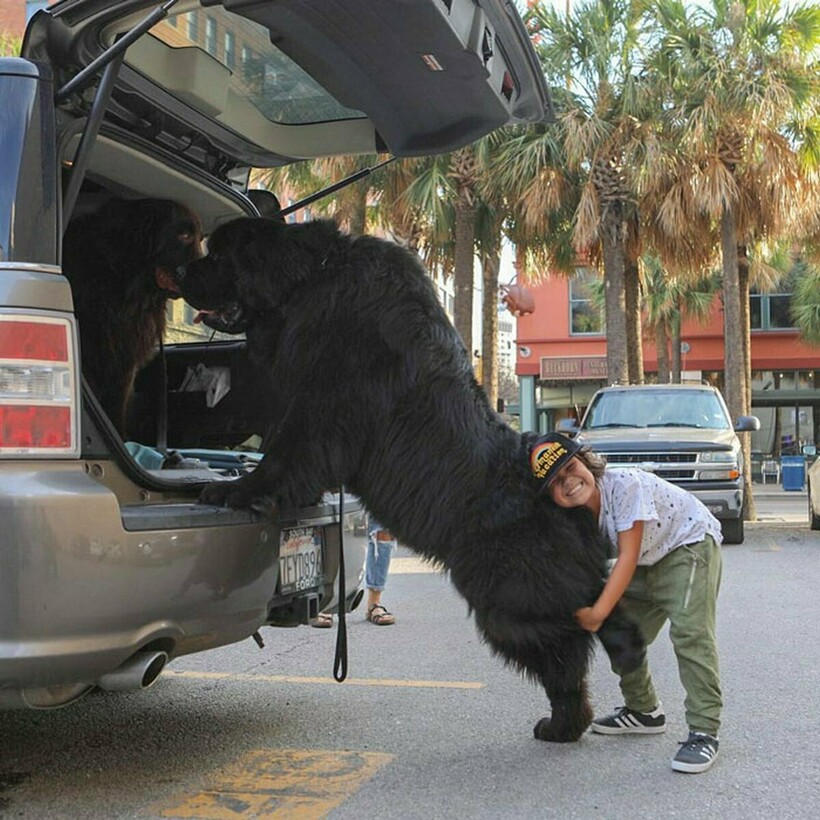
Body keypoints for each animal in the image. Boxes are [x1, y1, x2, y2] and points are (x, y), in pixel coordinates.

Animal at [176, 218, 644, 744]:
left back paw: (562, 724)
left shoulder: (322, 406)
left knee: (566, 650)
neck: (313, 277)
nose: (180, 269)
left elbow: (284, 456)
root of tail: (565, 500)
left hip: (510, 598)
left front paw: (237, 491)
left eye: (218, 255)